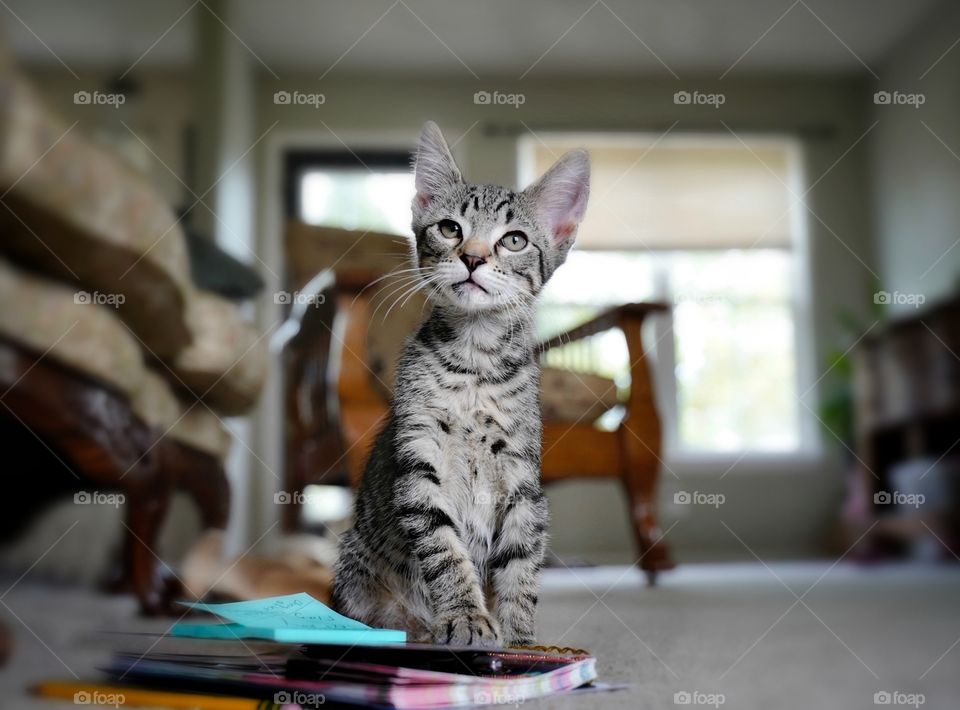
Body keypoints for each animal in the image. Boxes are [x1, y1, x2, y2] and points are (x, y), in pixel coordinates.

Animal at [334, 124, 588, 652]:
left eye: (514, 240)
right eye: (451, 229)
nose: (472, 257)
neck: (474, 364)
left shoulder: (522, 480)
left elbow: (522, 563)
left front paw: (519, 640)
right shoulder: (417, 461)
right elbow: (445, 549)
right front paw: (467, 616)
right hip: (353, 563)